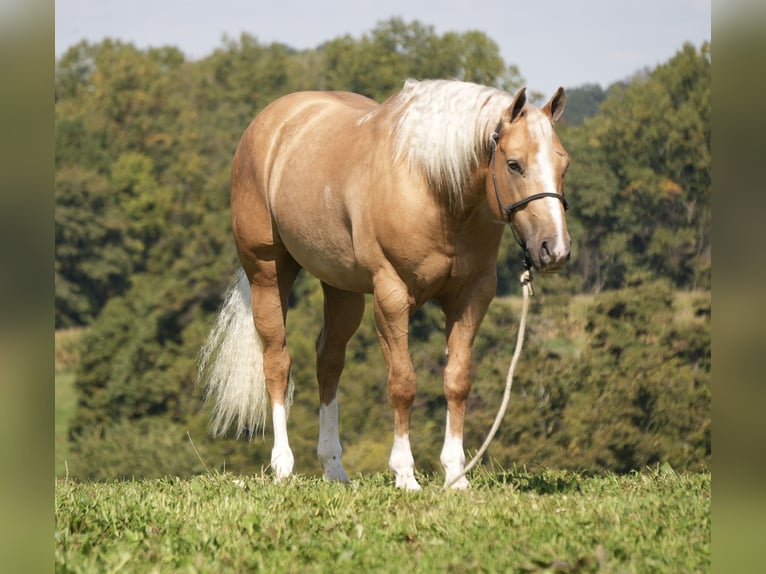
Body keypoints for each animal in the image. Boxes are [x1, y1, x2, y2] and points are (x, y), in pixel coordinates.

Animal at [199, 79, 571, 490]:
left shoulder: (472, 295)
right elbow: (402, 384)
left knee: (329, 360)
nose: (554, 249)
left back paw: (334, 467)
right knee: (278, 361)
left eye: (564, 163)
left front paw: (456, 475)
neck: (433, 189)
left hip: (341, 288)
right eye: (514, 164)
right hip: (267, 272)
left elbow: (457, 381)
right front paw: (405, 474)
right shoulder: (391, 297)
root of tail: (271, 121)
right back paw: (283, 465)